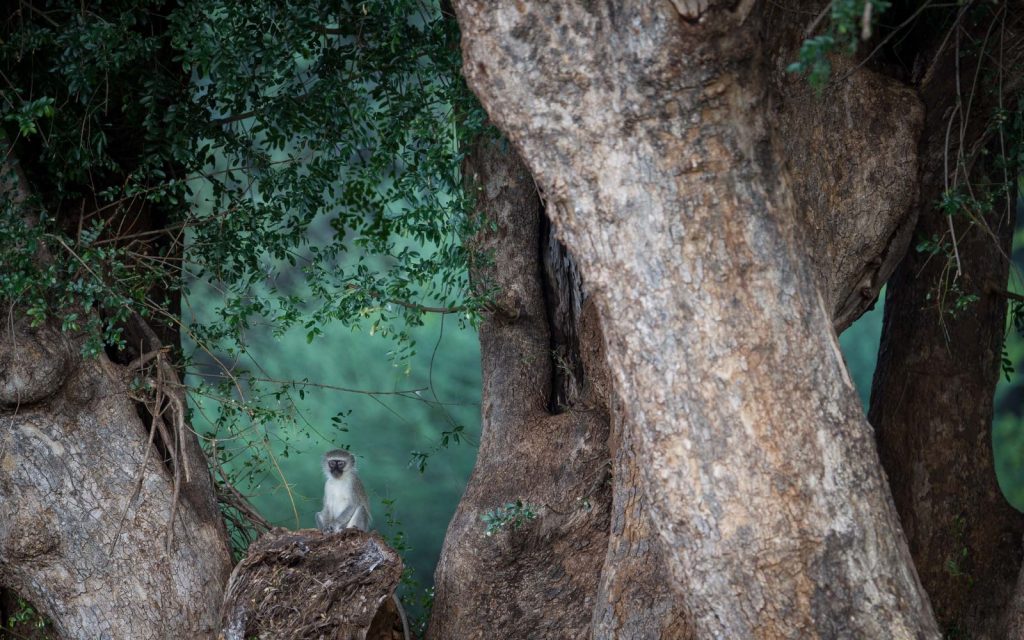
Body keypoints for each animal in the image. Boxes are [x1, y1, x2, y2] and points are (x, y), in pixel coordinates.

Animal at [316, 449, 409, 640]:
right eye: (332, 463)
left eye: (341, 463)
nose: (335, 470)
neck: (339, 481)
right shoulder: (328, 485)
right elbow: (326, 509)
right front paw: (327, 528)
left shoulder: (353, 484)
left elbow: (353, 505)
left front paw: (334, 525)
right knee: (319, 514)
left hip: (361, 527)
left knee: (360, 509)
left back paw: (344, 530)